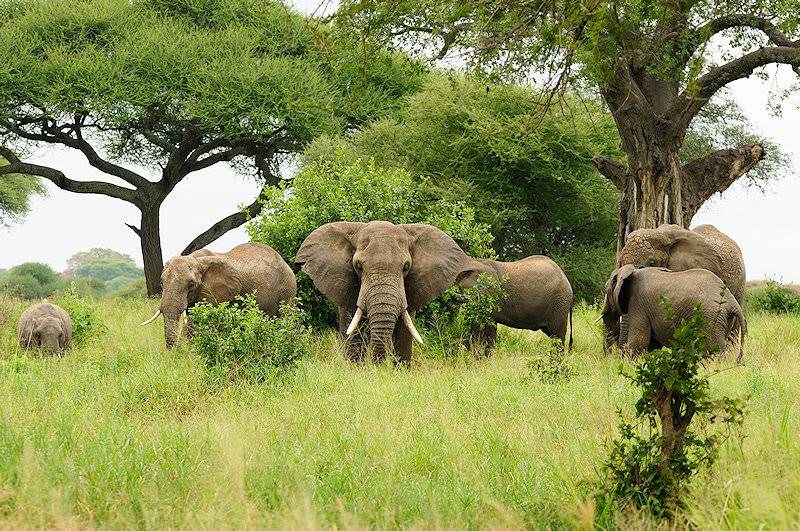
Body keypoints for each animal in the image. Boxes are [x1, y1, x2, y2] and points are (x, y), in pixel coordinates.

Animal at [601, 265, 746, 363]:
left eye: (605, 289)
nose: (608, 359)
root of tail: (733, 302)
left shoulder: (638, 304)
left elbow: (639, 341)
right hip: (723, 319)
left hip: (711, 317)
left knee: (715, 348)